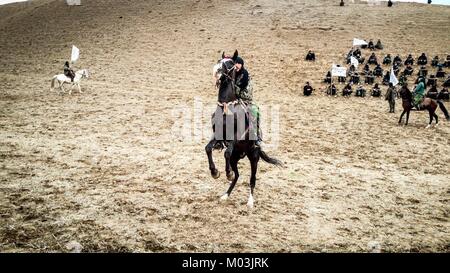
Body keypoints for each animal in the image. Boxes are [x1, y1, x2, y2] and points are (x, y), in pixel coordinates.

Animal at [205, 50, 282, 206]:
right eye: (219, 61)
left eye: (230, 64)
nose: (216, 71)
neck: (227, 107)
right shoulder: (217, 134)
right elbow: (208, 148)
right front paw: (215, 172)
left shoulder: (236, 137)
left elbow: (226, 152)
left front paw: (226, 173)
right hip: (236, 158)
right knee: (237, 176)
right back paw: (225, 195)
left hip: (254, 158)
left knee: (252, 179)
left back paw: (250, 202)